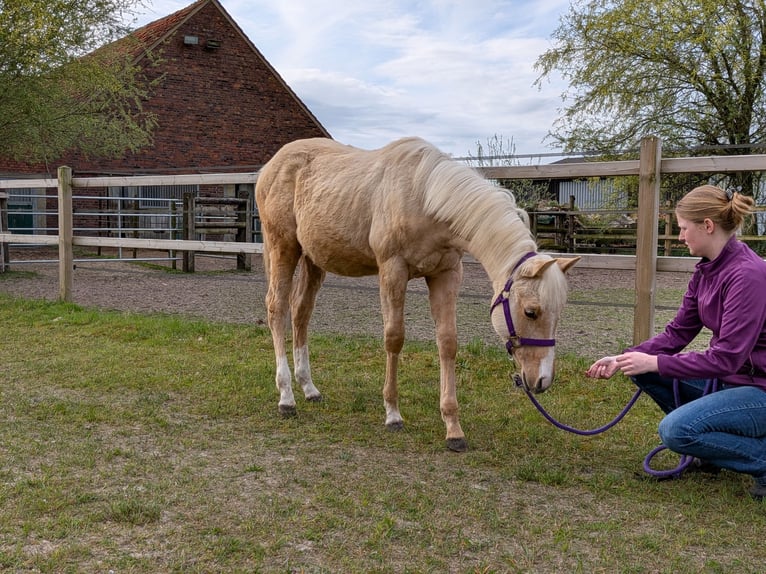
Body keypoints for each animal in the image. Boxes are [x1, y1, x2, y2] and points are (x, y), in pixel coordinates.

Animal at [255, 136, 579, 452]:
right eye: (530, 312)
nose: (542, 380)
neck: (424, 198)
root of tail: (270, 167)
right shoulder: (392, 270)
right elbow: (394, 338)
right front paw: (393, 414)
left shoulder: (446, 275)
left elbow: (447, 342)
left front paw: (453, 428)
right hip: (283, 248)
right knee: (277, 310)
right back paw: (286, 397)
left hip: (313, 260)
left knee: (301, 313)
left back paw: (308, 388)